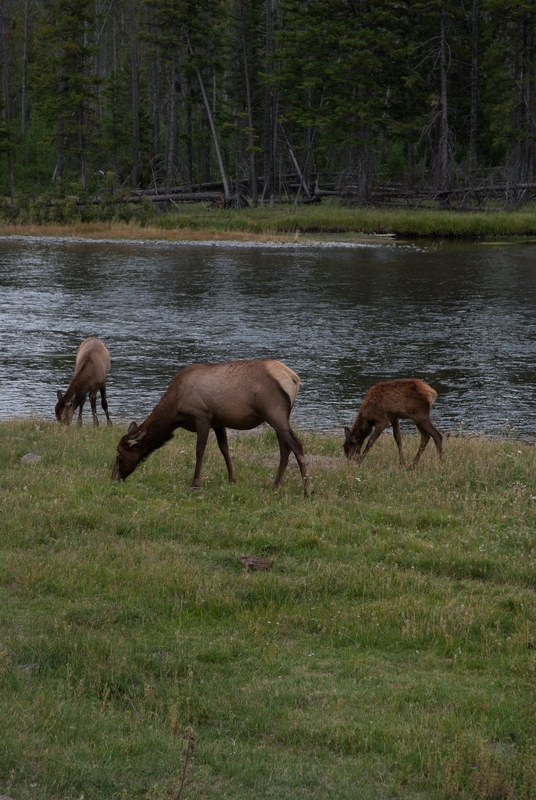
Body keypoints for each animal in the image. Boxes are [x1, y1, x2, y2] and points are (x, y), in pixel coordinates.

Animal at [113, 358, 312, 494]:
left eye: (120, 455)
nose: (114, 477)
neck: (175, 409)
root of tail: (294, 379)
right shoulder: (218, 421)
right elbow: (224, 448)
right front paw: (232, 479)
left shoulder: (202, 415)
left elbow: (200, 450)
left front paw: (195, 483)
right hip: (280, 416)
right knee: (285, 448)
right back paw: (275, 485)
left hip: (274, 413)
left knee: (296, 445)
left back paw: (307, 490)